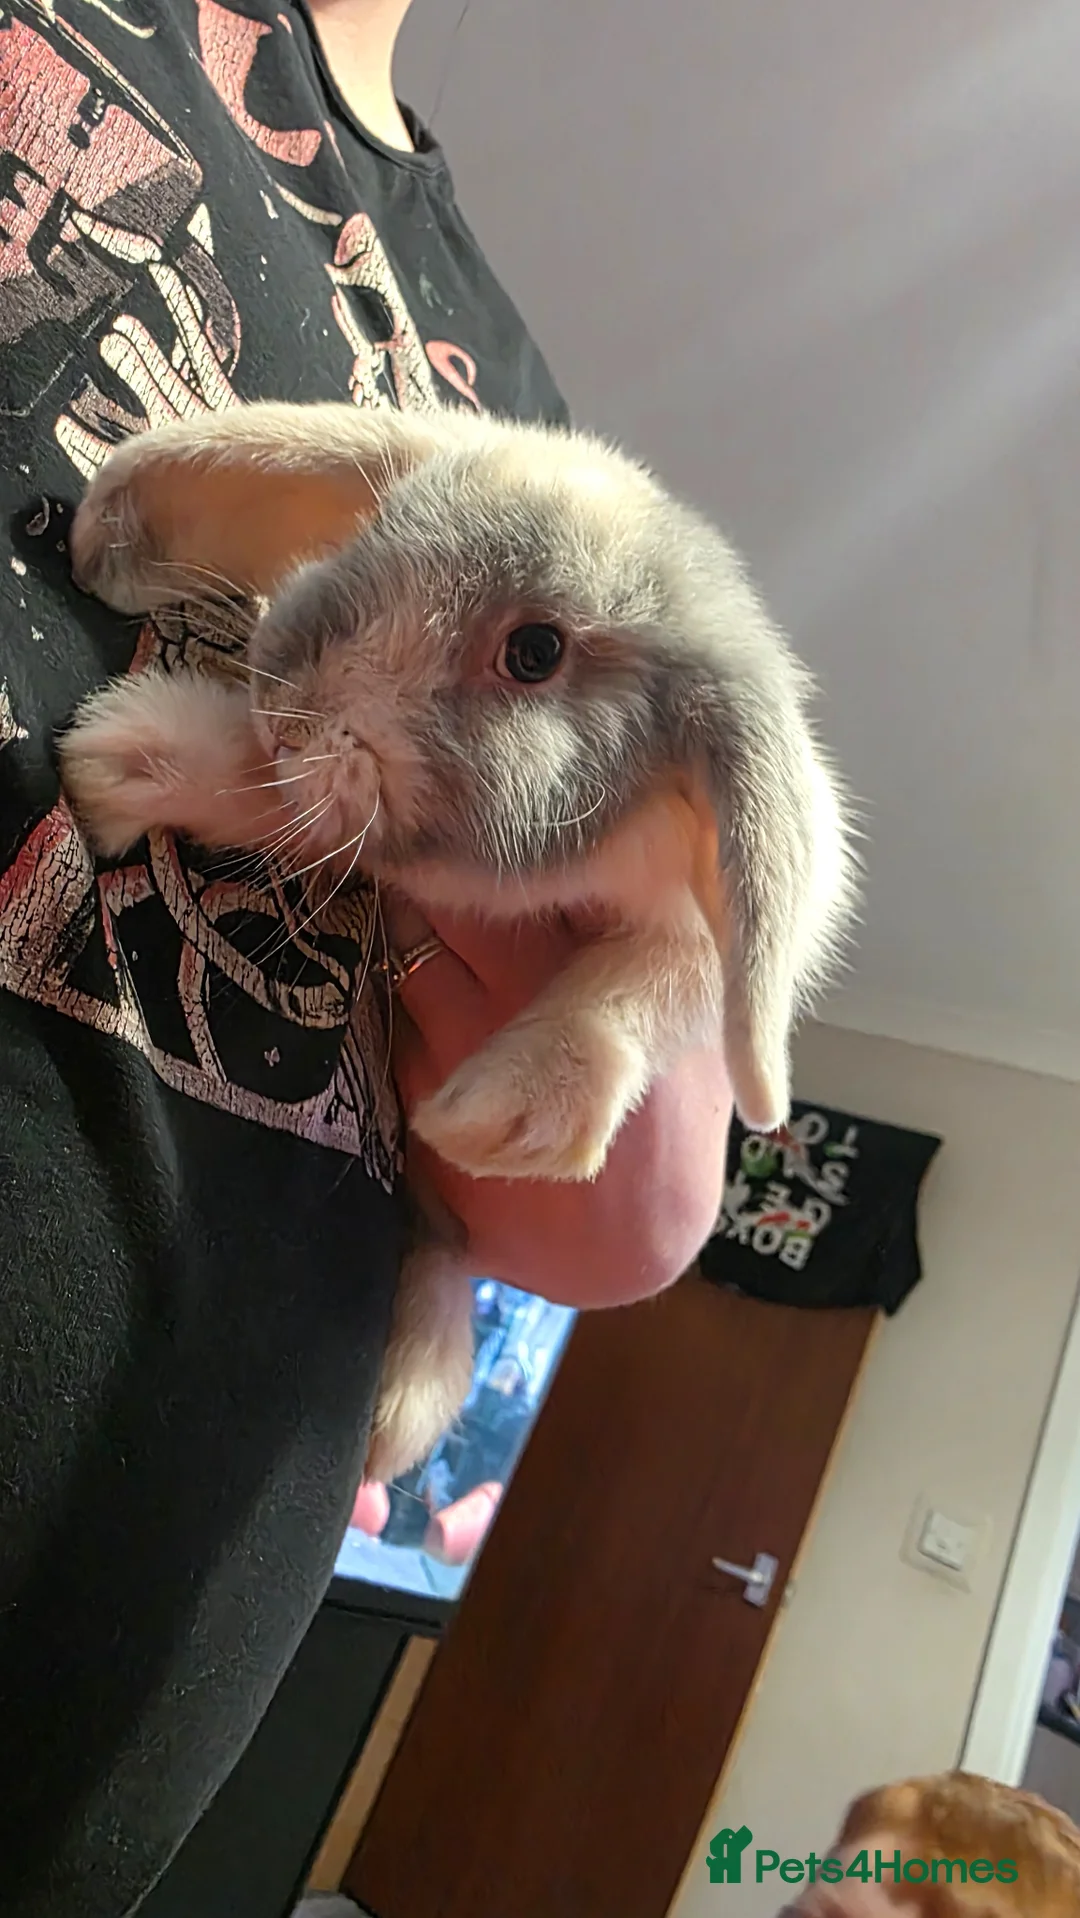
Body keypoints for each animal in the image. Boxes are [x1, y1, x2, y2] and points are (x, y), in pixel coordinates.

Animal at [58, 400, 857, 1482]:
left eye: (535, 651)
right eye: (378, 528)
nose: (284, 700)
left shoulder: (689, 940)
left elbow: (646, 989)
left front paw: (499, 1118)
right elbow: (283, 804)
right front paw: (126, 761)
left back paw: (398, 1419)